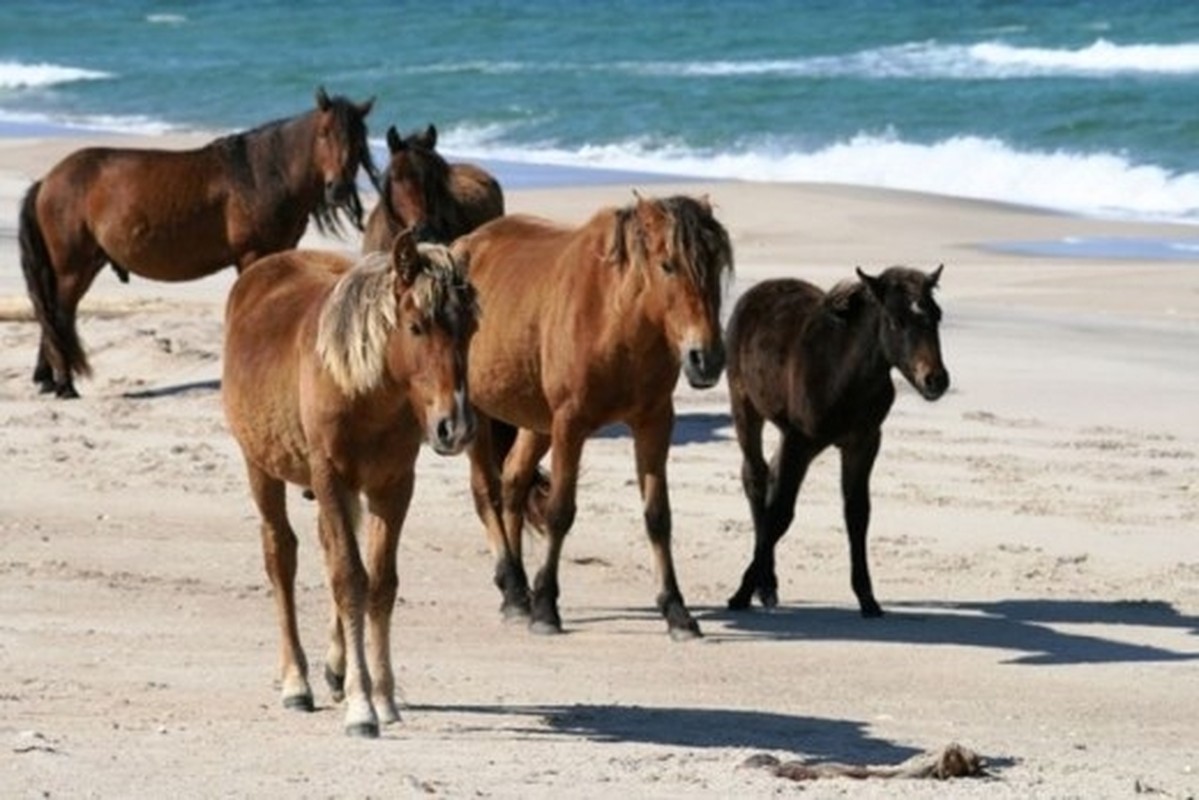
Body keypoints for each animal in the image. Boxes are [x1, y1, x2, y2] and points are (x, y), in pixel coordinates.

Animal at [21, 86, 376, 398]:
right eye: (324, 133)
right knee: (59, 315)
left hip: (85, 265)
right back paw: (65, 384)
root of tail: (48, 181)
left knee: (55, 315)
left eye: (358, 137)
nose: (338, 189)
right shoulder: (252, 255)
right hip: (72, 267)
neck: (262, 174)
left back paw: (48, 379)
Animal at [220, 230, 477, 738]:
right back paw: (296, 682)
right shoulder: (331, 478)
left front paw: (383, 697)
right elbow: (349, 579)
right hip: (261, 467)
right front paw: (362, 707)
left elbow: (379, 583)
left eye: (471, 330)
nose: (453, 427)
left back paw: (335, 668)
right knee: (281, 554)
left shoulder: (393, 486)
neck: (365, 390)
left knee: (325, 548)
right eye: (416, 326)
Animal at [450, 194, 728, 642]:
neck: (617, 319)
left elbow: (658, 516)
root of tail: (464, 245)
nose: (707, 359)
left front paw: (676, 611)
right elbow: (560, 511)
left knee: (512, 483)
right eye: (667, 264)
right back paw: (513, 590)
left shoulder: (654, 423)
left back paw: (519, 590)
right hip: (476, 412)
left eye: (716, 262)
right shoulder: (571, 424)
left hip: (536, 422)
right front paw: (547, 608)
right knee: (486, 491)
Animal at [724, 266, 949, 618]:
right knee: (756, 478)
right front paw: (742, 591)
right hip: (744, 404)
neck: (843, 374)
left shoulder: (864, 442)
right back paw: (765, 584)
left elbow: (857, 513)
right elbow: (781, 515)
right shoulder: (799, 440)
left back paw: (769, 584)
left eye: (937, 315)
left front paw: (867, 598)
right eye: (896, 321)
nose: (935, 380)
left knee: (770, 475)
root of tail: (759, 289)